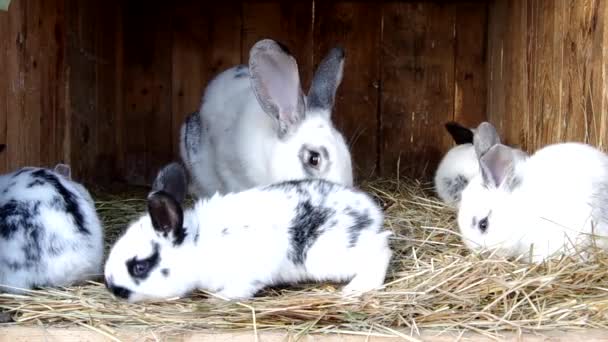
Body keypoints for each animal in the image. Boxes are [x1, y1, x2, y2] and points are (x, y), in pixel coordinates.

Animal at [104, 163, 390, 302]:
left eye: (140, 267)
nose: (112, 288)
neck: (195, 247)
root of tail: (370, 212)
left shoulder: (248, 272)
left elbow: (241, 288)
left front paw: (219, 298)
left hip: (332, 253)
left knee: (381, 252)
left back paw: (356, 288)